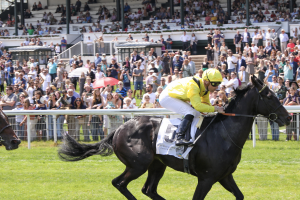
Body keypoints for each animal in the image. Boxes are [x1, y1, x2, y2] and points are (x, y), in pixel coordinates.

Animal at [58, 76, 290, 199]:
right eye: (269, 95)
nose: (288, 117)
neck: (224, 135)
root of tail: (120, 128)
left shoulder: (225, 176)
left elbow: (240, 195)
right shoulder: (206, 178)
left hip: (157, 164)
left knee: (148, 189)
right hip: (138, 164)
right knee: (120, 183)